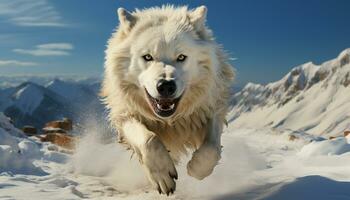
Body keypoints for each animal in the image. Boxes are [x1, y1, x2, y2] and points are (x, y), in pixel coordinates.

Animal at [102, 5, 237, 195]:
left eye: (181, 57)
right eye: (148, 57)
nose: (166, 86)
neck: (169, 122)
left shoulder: (209, 108)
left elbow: (211, 149)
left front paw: (197, 169)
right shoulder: (124, 113)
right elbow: (150, 140)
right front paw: (162, 174)